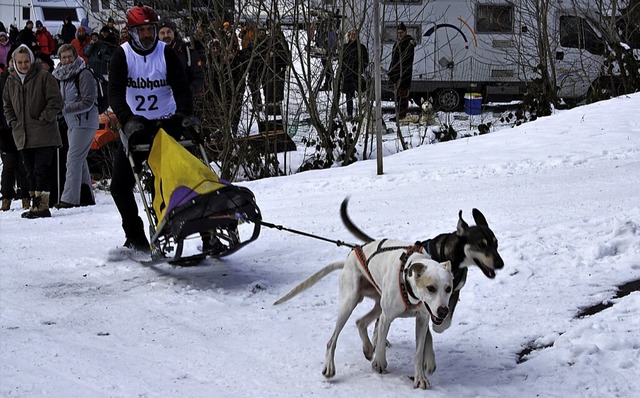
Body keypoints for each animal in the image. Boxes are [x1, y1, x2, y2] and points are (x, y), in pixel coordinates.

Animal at [274, 239, 450, 388]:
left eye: (448, 288)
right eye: (431, 288)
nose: (444, 311)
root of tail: (347, 260)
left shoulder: (422, 319)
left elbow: (419, 353)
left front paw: (420, 377)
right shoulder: (386, 317)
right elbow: (381, 343)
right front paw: (379, 362)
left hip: (377, 304)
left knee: (360, 322)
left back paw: (367, 348)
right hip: (349, 303)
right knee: (332, 340)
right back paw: (330, 367)